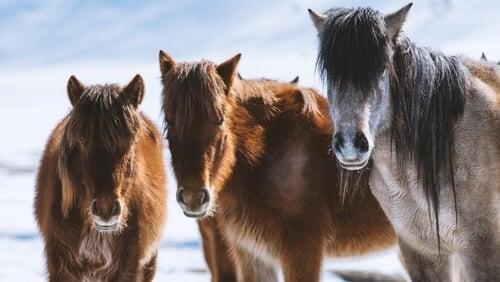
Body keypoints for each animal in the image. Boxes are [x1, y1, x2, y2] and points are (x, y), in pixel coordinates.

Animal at [159, 50, 394, 282]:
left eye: (220, 119)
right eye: (169, 122)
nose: (193, 198)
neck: (267, 153)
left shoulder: (302, 251)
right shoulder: (252, 254)